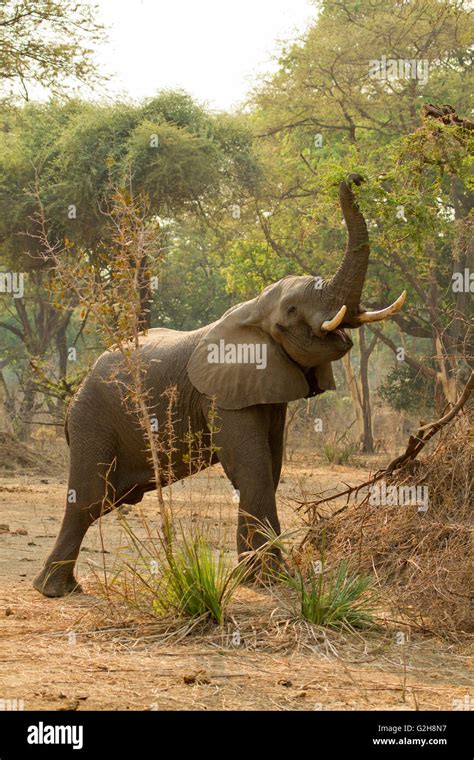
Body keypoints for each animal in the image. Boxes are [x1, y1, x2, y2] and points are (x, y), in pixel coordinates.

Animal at [33, 175, 406, 596]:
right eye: (292, 310)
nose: (355, 177)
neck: (252, 309)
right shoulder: (221, 398)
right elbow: (253, 470)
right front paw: (271, 581)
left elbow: (269, 469)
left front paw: (256, 579)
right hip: (93, 419)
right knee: (89, 497)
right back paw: (55, 590)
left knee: (105, 500)